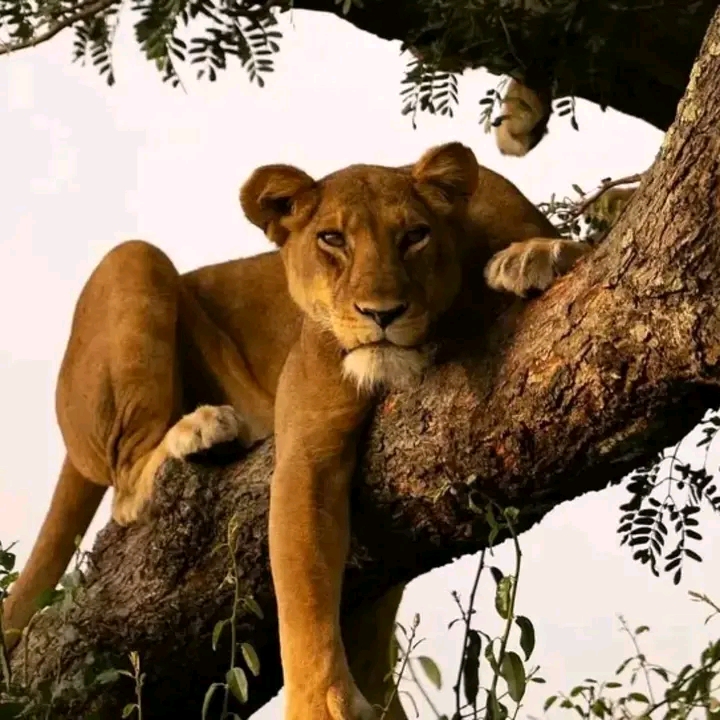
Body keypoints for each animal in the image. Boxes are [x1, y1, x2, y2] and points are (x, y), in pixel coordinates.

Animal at [2, 143, 590, 719]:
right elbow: (303, 585)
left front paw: (534, 256)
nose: (382, 313)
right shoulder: (308, 446)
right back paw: (202, 428)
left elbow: (580, 250)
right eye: (332, 239)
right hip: (133, 261)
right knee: (125, 487)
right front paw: (317, 702)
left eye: (414, 236)